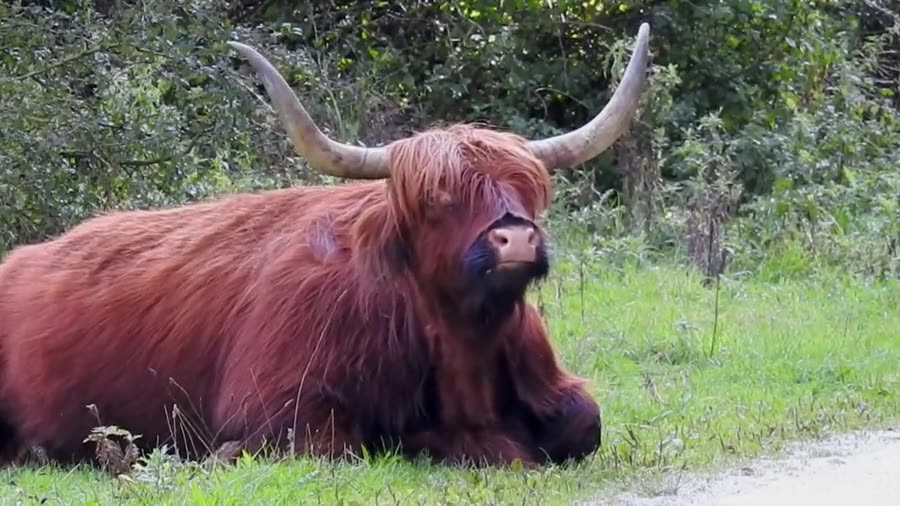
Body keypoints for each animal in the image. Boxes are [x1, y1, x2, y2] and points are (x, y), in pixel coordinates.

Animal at [0, 23, 650, 468]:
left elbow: (583, 424)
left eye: (529, 188)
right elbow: (345, 443)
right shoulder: (279, 405)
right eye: (437, 199)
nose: (515, 235)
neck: (462, 343)